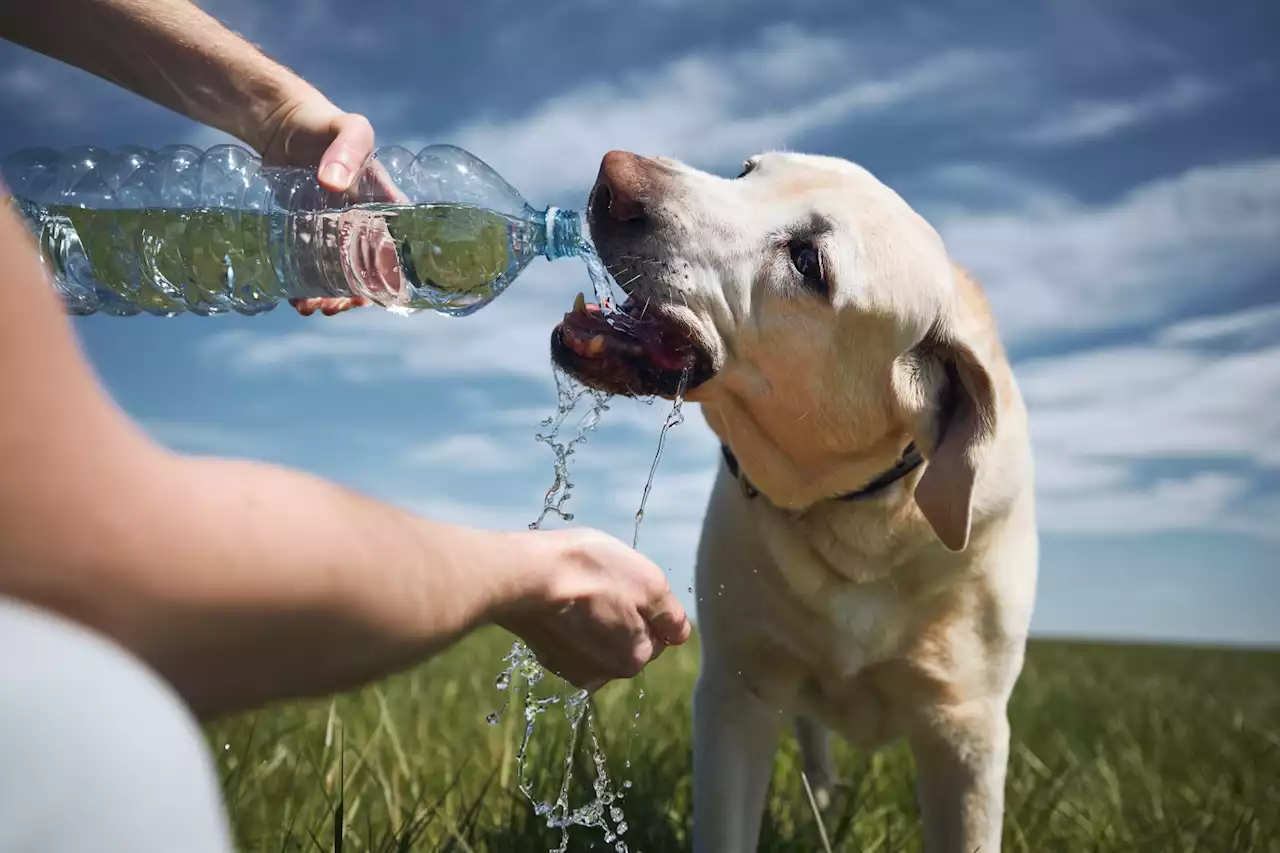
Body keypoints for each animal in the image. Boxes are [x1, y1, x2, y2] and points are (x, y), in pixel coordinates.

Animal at [552, 149, 1039, 845]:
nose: (611, 176)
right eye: (745, 171)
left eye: (808, 262)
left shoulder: (967, 728)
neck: (863, 522)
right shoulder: (737, 693)